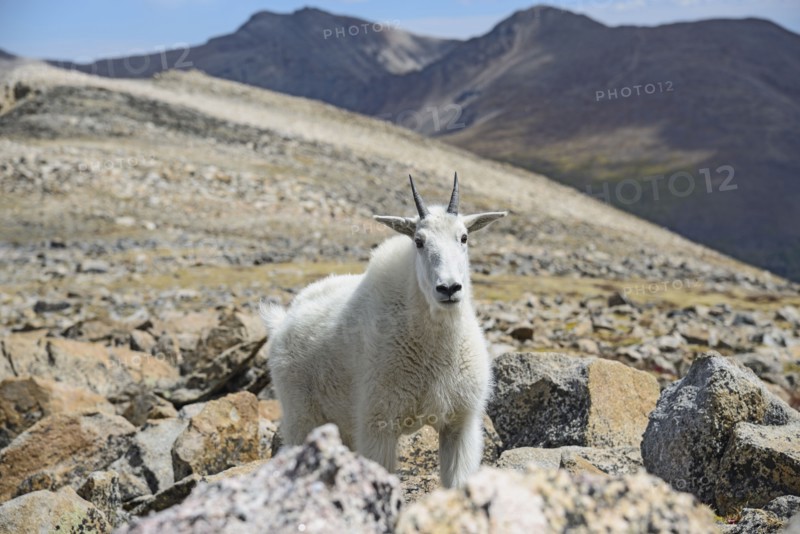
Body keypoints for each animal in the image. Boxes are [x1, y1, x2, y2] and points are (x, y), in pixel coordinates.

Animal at [261, 174, 506, 487]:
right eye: (418, 241)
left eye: (464, 237)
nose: (449, 288)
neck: (435, 343)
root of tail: (282, 320)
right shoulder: (378, 425)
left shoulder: (459, 424)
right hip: (301, 415)